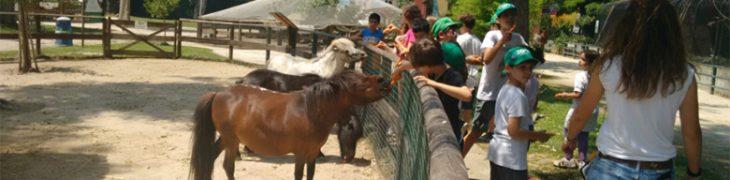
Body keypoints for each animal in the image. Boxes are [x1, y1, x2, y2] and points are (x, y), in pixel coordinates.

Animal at [191, 70, 390, 180]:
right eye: (356, 83)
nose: (383, 81)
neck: (310, 110)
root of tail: (218, 94)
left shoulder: (311, 153)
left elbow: (310, 174)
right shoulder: (301, 153)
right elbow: (298, 175)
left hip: (225, 139)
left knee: (209, 158)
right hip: (231, 141)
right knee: (228, 167)